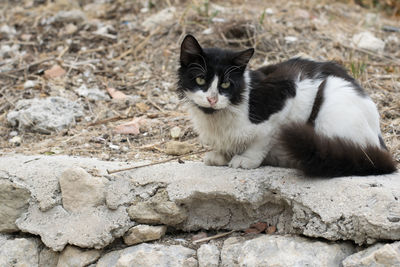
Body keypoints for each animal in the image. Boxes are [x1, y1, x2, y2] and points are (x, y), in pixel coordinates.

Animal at [177, 35, 396, 178]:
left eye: (225, 84)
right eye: (200, 79)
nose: (212, 99)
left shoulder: (286, 93)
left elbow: (262, 139)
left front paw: (246, 159)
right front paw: (221, 154)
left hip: (333, 93)